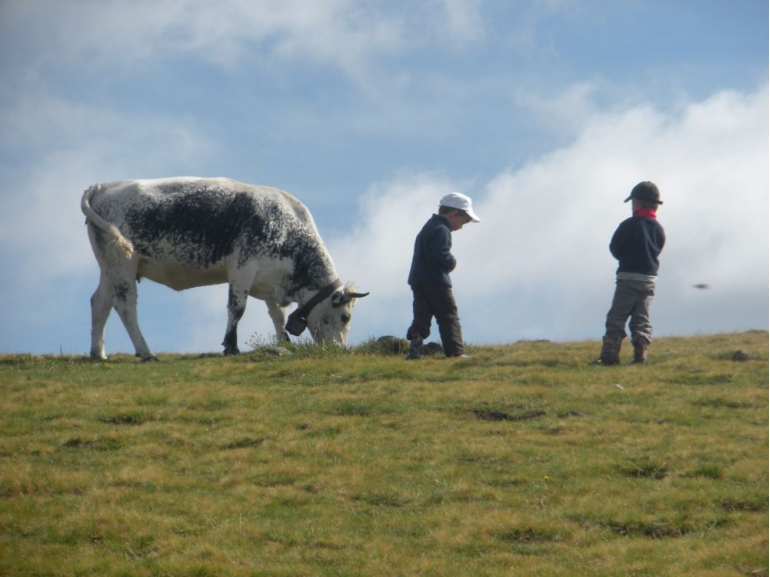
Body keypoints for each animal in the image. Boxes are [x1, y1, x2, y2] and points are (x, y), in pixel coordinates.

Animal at [79, 178, 368, 360]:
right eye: (346, 317)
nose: (339, 349)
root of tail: (103, 186)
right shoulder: (242, 269)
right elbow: (237, 309)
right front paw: (231, 346)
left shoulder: (269, 281)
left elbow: (277, 315)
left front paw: (283, 343)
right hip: (123, 264)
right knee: (125, 305)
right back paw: (146, 352)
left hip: (109, 267)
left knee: (100, 302)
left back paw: (99, 354)